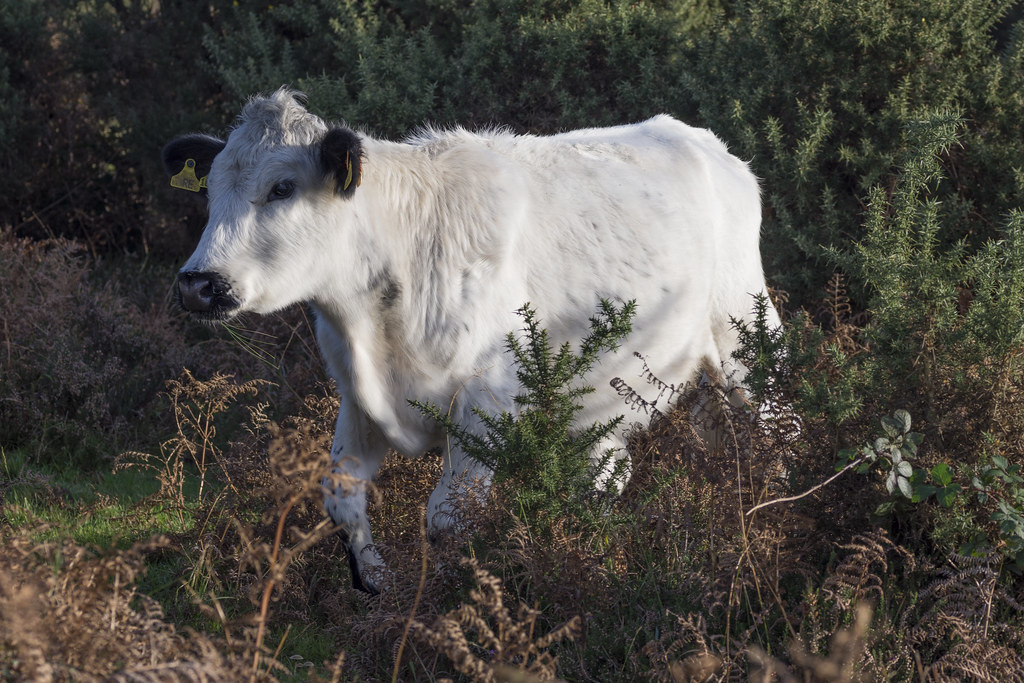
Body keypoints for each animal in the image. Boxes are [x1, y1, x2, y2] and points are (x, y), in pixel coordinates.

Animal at [162, 88, 781, 594]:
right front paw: (377, 582)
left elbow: (447, 518)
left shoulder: (488, 401)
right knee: (609, 475)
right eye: (211, 189)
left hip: (743, 335)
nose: (198, 283)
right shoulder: (356, 396)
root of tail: (702, 141)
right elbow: (342, 497)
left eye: (283, 187)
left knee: (777, 424)